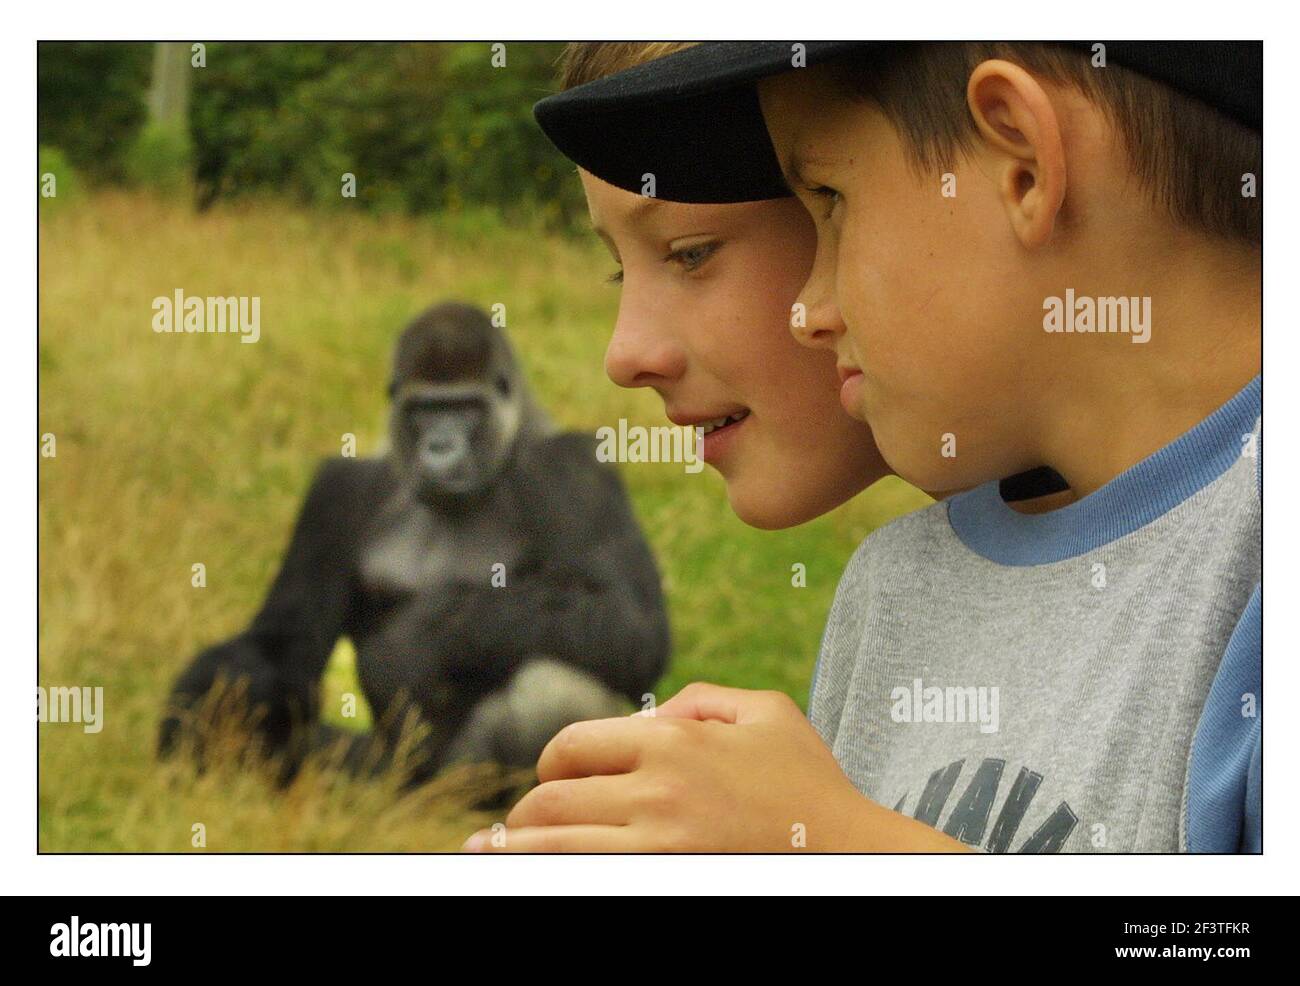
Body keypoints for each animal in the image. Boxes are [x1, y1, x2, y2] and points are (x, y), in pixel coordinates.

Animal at [156, 303, 670, 785]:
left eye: (465, 408)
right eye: (425, 410)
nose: (441, 447)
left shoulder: (575, 469)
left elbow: (629, 625)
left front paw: (411, 643)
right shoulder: (338, 491)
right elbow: (285, 639)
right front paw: (207, 696)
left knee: (554, 682)